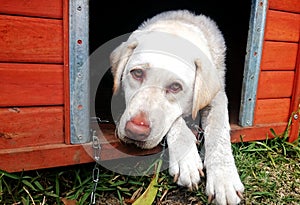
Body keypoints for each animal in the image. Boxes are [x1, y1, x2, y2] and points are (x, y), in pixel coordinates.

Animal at [110, 10, 244, 205]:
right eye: (137, 73)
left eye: (175, 87)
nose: (135, 131)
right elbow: (176, 122)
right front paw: (186, 160)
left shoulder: (217, 96)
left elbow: (218, 130)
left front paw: (223, 178)